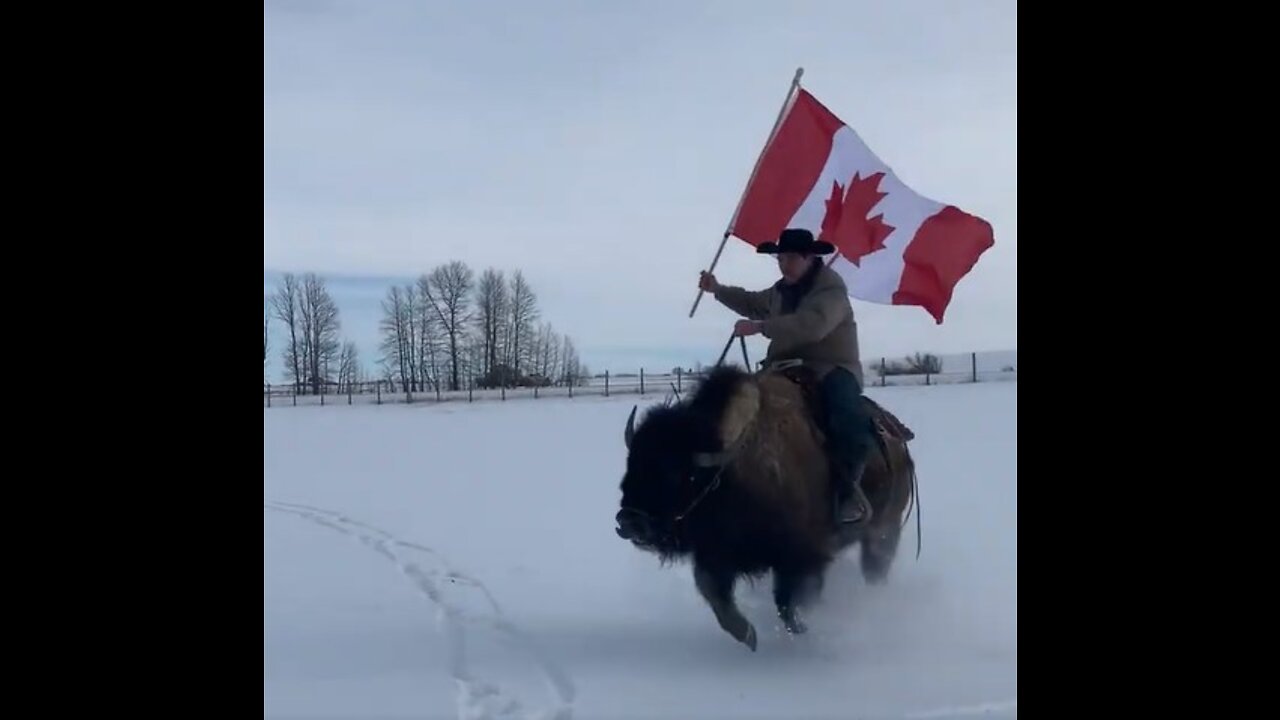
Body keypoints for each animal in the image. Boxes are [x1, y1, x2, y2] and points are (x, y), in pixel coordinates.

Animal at [614, 361, 916, 648]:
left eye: (677, 472)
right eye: (630, 463)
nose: (629, 520)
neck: (728, 467)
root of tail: (897, 441)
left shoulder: (802, 556)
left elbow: (789, 604)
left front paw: (804, 629)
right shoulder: (716, 554)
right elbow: (715, 594)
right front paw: (750, 637)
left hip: (884, 529)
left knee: (875, 568)